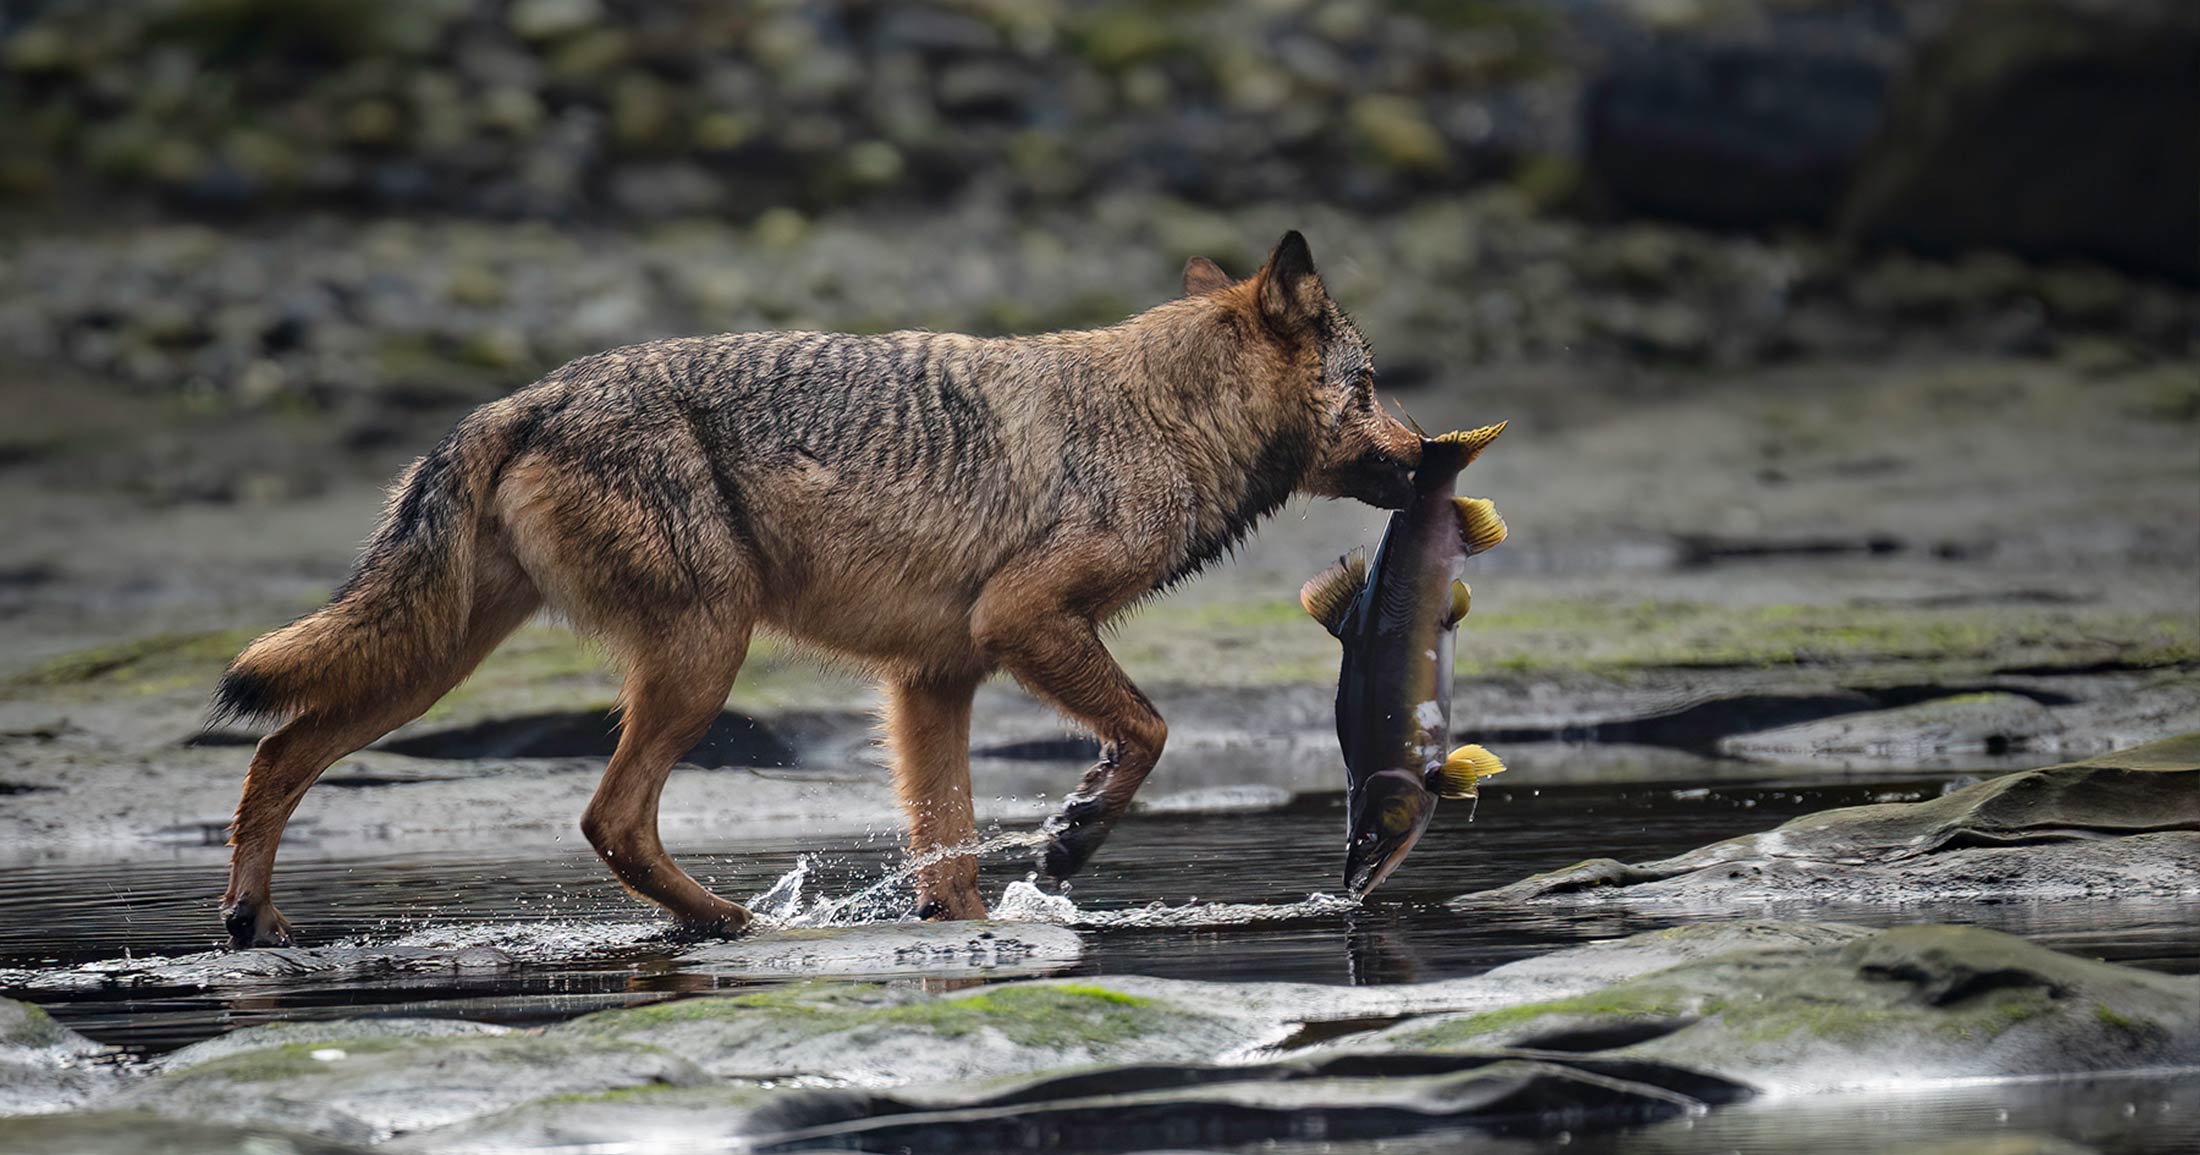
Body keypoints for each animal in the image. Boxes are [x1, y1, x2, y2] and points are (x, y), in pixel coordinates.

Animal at [210, 231, 1423, 947]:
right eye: (1374, 386)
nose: (1432, 457)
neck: (1163, 416)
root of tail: (528, 396)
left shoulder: (936, 679)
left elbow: (950, 858)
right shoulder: (1025, 622)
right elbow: (1149, 733)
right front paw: (1071, 837)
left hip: (431, 662)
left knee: (279, 754)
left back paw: (255, 928)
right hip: (700, 661)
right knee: (611, 820)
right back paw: (742, 926)